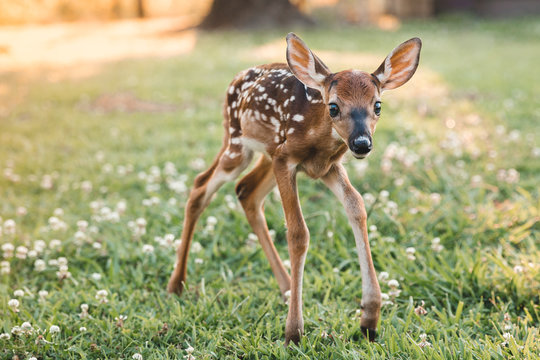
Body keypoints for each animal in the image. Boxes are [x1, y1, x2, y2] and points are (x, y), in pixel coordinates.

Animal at [169, 32, 422, 344]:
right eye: (334, 106)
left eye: (377, 105)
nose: (362, 143)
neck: (317, 135)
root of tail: (234, 79)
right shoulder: (285, 159)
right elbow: (299, 232)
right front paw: (294, 332)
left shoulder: (326, 166)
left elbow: (357, 207)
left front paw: (369, 320)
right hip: (238, 145)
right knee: (200, 186)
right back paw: (177, 284)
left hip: (265, 154)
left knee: (245, 191)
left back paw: (287, 286)